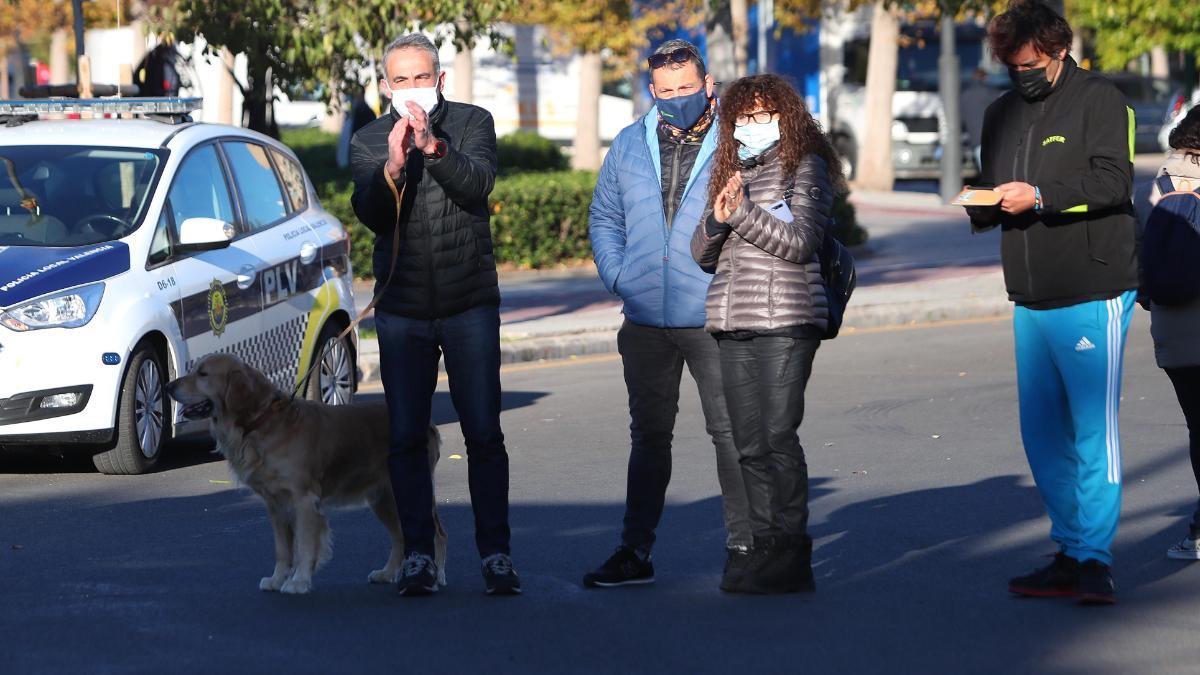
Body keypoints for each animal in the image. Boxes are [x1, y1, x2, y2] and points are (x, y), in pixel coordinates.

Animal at [166, 353, 448, 593]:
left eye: (202, 373)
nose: (168, 386)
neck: (263, 423)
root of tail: (429, 423)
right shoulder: (275, 505)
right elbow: (283, 549)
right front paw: (277, 579)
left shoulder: (304, 501)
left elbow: (304, 545)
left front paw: (298, 581)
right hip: (383, 499)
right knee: (400, 536)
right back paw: (388, 572)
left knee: (437, 533)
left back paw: (436, 575)